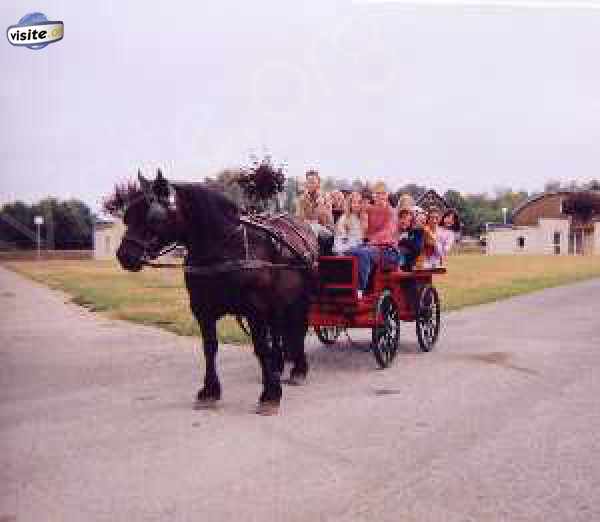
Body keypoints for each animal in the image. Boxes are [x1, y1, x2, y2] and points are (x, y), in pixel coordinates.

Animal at [114, 171, 316, 414]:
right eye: (128, 216)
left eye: (154, 218)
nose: (124, 255)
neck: (225, 249)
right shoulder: (203, 309)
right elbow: (210, 348)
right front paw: (209, 391)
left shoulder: (255, 309)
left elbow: (260, 348)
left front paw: (270, 395)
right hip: (277, 302)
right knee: (278, 331)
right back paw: (278, 366)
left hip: (300, 299)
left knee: (298, 329)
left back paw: (299, 369)